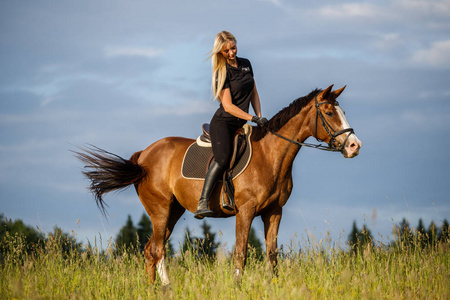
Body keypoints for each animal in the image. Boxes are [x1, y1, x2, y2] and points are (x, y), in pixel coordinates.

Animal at [74, 85, 362, 286]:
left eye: (343, 112)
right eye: (328, 113)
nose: (354, 146)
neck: (271, 155)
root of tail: (143, 154)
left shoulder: (273, 212)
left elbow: (272, 254)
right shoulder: (245, 211)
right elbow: (241, 254)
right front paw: (238, 288)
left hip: (173, 211)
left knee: (151, 251)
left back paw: (156, 289)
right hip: (160, 209)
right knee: (156, 250)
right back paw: (163, 288)